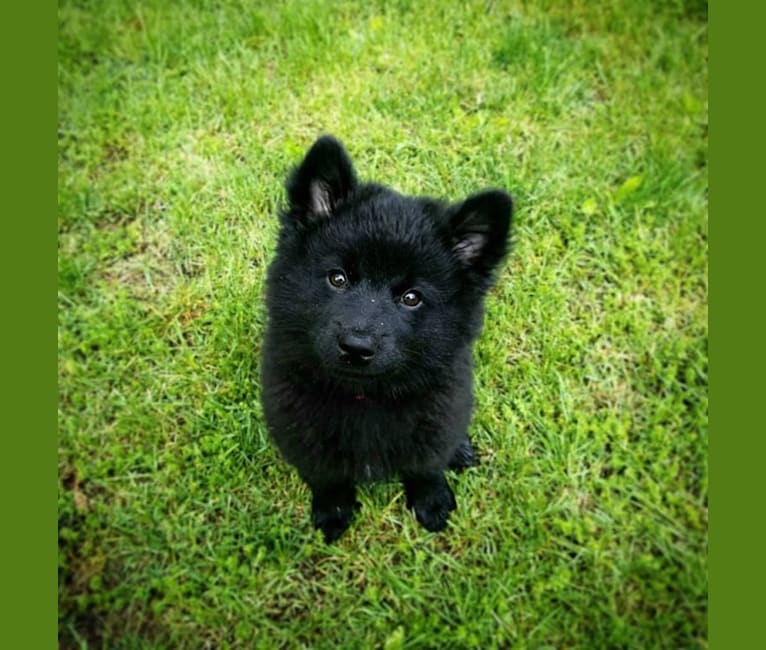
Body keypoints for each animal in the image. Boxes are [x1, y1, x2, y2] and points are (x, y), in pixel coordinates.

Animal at [260, 134, 512, 540]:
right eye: (338, 278)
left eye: (411, 298)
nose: (356, 347)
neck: (365, 397)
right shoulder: (299, 427)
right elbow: (325, 474)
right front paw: (333, 509)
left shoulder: (439, 417)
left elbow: (426, 465)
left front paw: (432, 501)